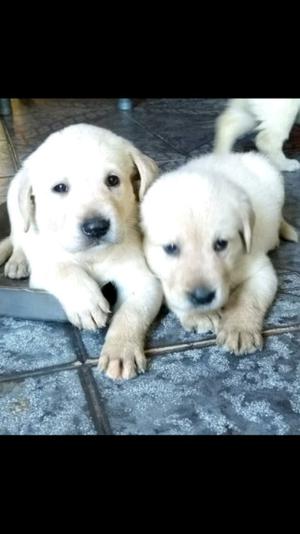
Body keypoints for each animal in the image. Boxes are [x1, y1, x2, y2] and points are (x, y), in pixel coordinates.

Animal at [0, 124, 163, 382]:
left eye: (113, 180)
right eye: (60, 188)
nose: (96, 227)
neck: (92, 255)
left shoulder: (144, 280)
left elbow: (132, 314)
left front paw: (121, 350)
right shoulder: (46, 267)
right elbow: (64, 269)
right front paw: (87, 303)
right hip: (15, 208)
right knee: (17, 239)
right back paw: (18, 261)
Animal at [141, 153, 298, 358]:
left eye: (221, 244)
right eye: (171, 248)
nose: (202, 297)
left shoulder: (260, 268)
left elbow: (248, 297)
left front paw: (240, 328)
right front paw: (200, 314)